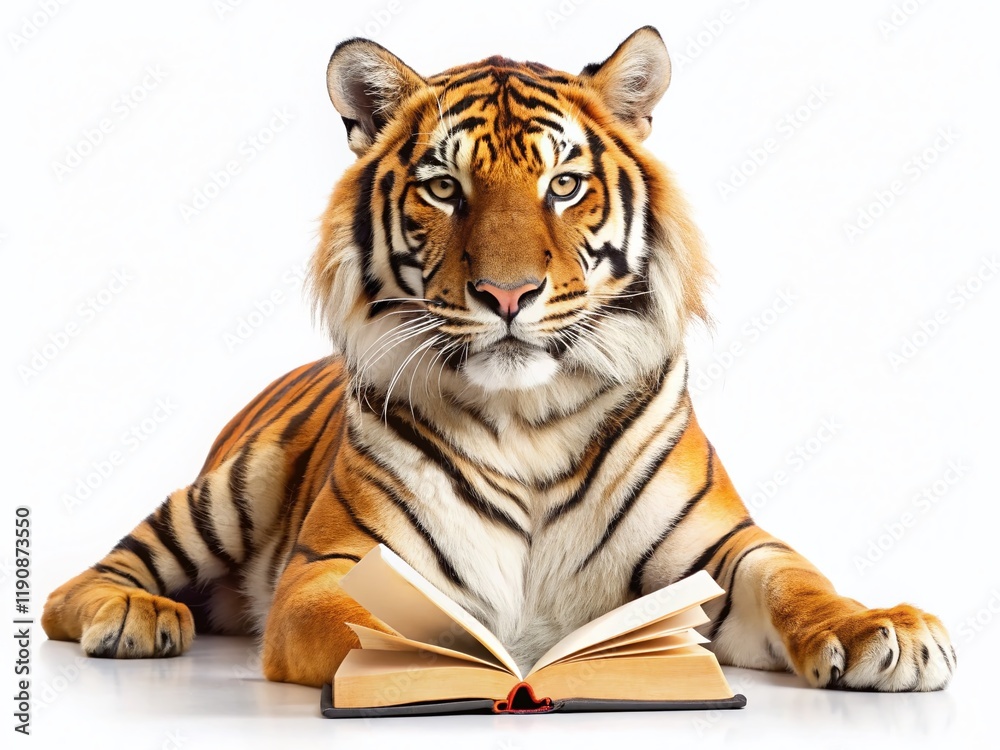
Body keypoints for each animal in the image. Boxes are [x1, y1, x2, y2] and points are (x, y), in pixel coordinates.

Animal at [43, 26, 955, 692]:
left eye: (563, 185)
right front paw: (489, 655)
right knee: (77, 585)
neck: (531, 421)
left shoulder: (720, 549)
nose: (507, 294)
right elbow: (404, 625)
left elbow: (797, 581)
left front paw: (884, 630)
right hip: (229, 491)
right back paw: (138, 617)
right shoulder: (333, 571)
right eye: (445, 188)